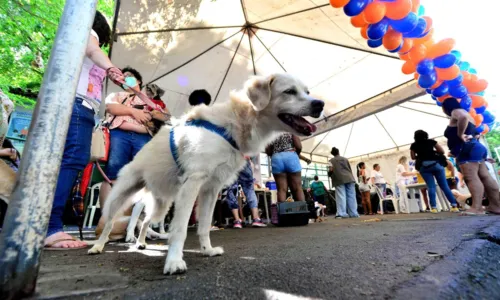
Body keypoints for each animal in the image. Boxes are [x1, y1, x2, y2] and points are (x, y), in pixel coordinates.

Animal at [88, 74, 324, 276]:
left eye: (307, 91)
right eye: (289, 91)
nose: (319, 104)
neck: (236, 122)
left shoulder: (211, 189)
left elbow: (203, 226)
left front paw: (207, 250)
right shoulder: (193, 182)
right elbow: (181, 228)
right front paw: (174, 261)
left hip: (163, 203)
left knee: (146, 221)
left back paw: (141, 242)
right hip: (121, 195)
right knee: (110, 222)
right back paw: (98, 246)